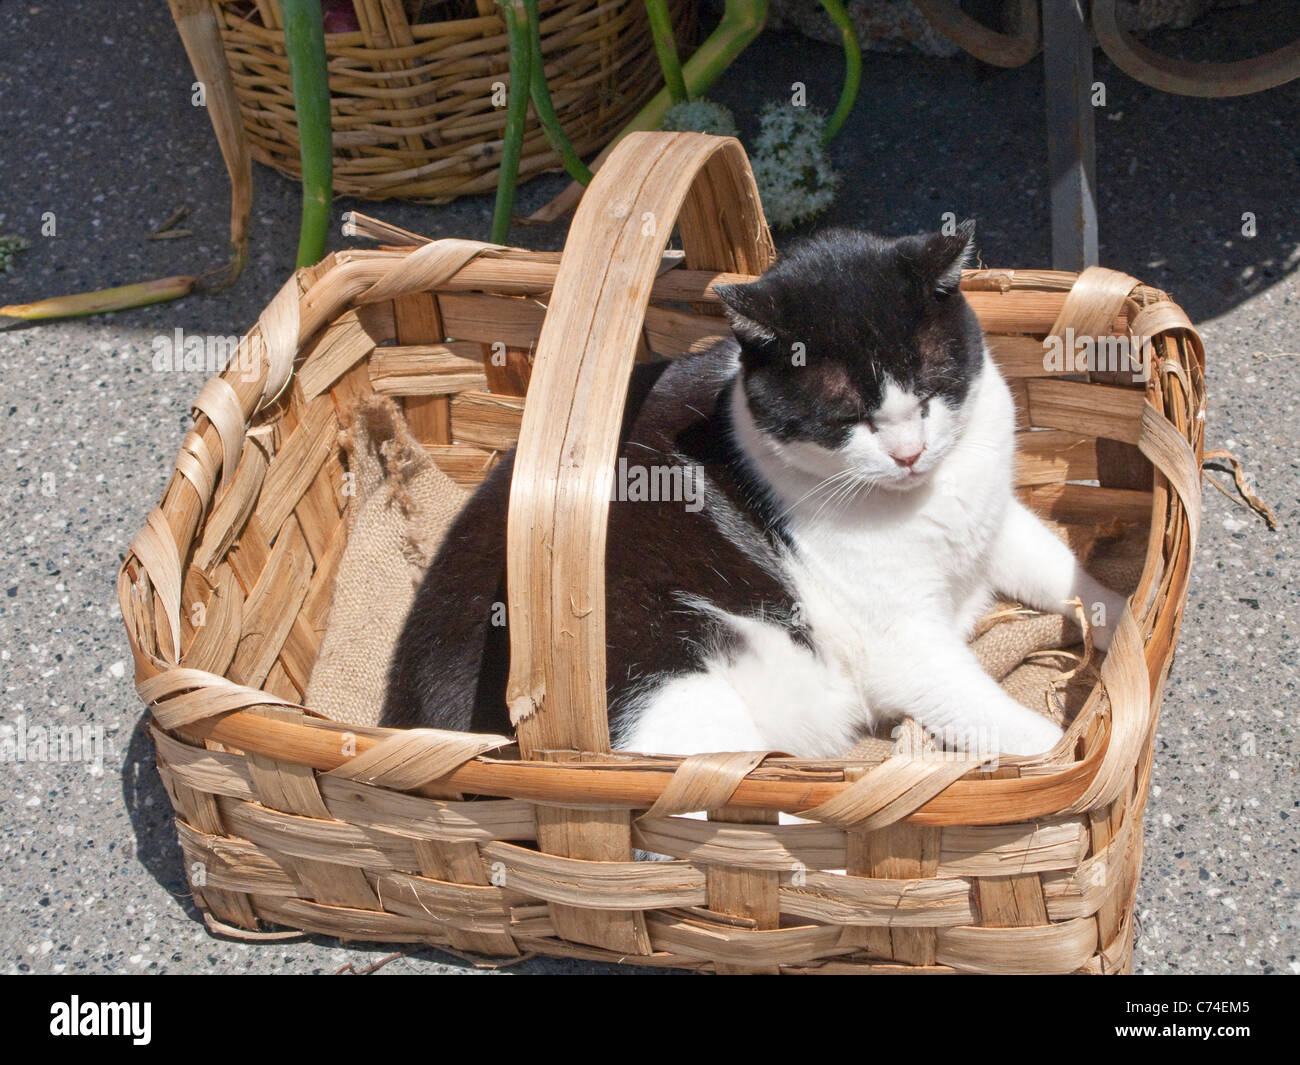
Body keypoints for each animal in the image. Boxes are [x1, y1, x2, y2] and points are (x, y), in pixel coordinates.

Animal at [382, 222, 1128, 759]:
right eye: (845, 416)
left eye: (929, 387)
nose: (909, 454)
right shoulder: (902, 643)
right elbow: (987, 710)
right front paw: (1061, 755)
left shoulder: (994, 522)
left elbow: (1059, 565)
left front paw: (1124, 616)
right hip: (662, 686)